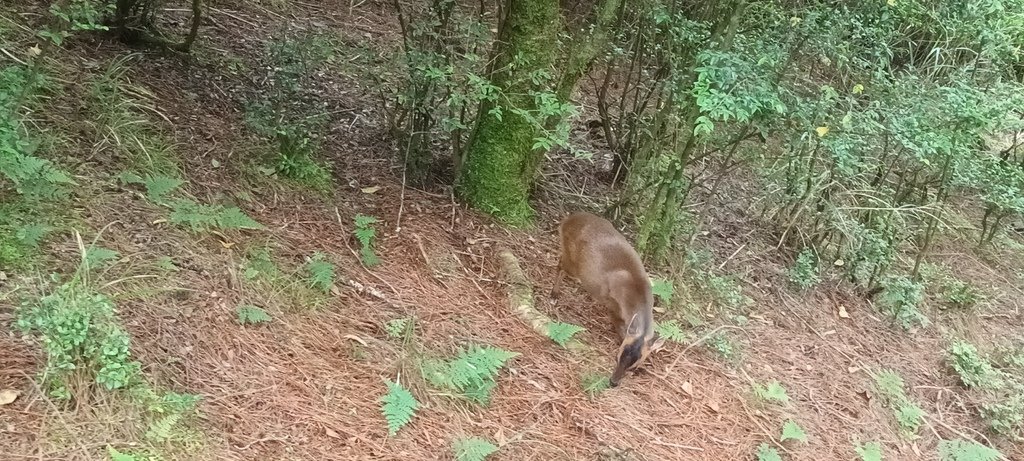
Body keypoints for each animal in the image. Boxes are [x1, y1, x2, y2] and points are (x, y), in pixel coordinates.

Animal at [552, 212, 655, 385]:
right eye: (617, 356)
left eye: (633, 365)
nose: (613, 382)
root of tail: (567, 220)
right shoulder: (613, 306)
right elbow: (620, 331)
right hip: (573, 261)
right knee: (560, 265)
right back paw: (554, 295)